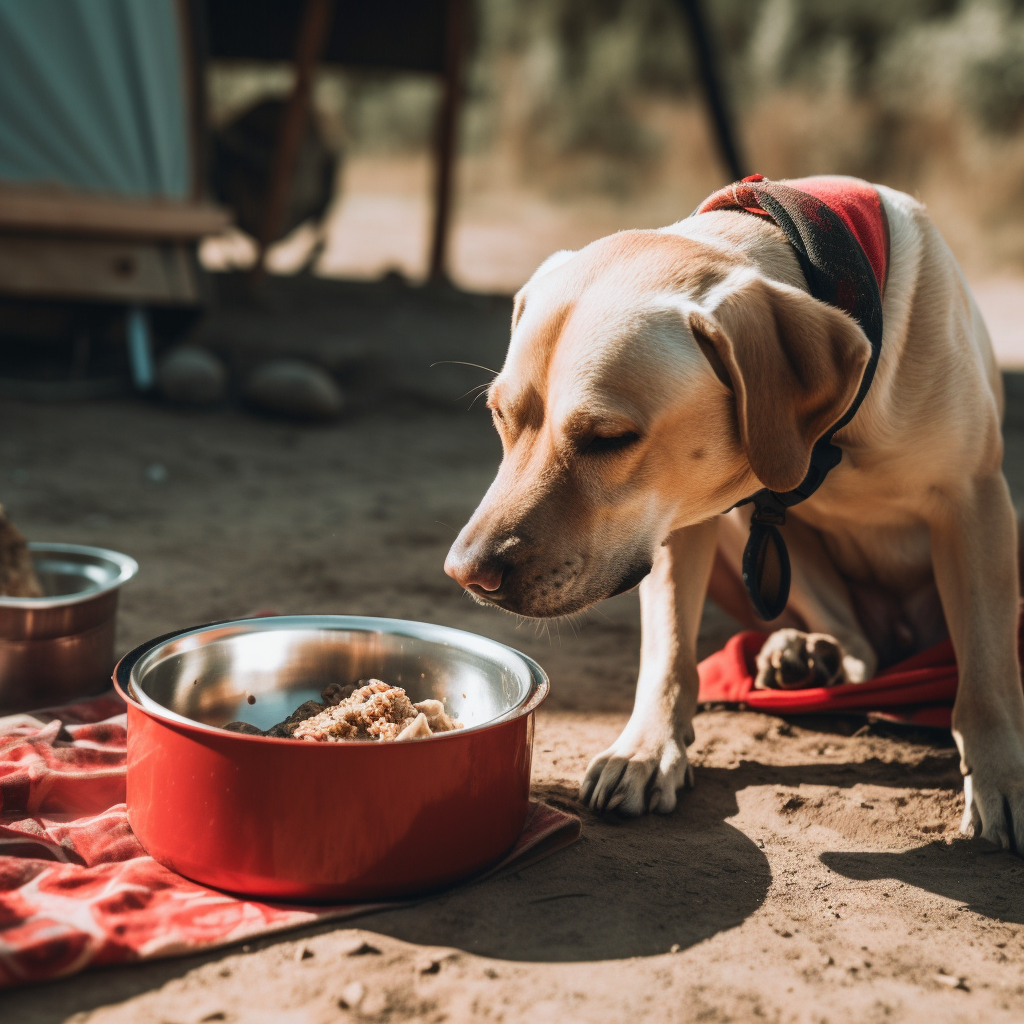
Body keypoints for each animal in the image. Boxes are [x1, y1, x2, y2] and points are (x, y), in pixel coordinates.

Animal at [444, 180, 1024, 851]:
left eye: (608, 439)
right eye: (500, 416)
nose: (464, 573)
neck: (829, 435)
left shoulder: (973, 499)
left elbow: (987, 669)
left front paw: (1003, 777)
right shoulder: (677, 515)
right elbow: (667, 651)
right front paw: (648, 749)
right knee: (859, 647)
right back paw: (802, 654)